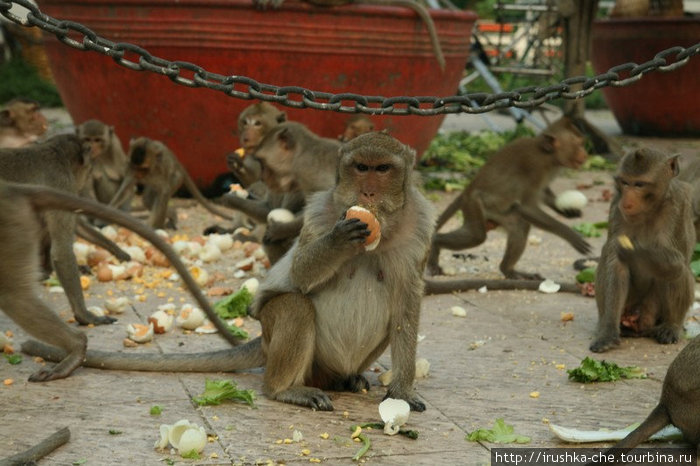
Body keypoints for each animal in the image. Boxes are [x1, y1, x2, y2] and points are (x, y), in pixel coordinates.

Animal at [592, 147, 696, 352]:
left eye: (639, 185)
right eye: (625, 182)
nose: (627, 201)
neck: (649, 209)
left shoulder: (678, 207)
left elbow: (677, 260)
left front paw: (635, 252)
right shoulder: (616, 207)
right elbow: (615, 262)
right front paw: (608, 331)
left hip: (653, 309)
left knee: (677, 269)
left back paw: (671, 326)